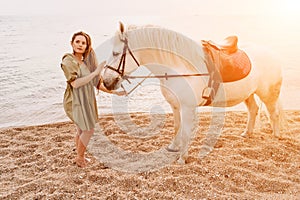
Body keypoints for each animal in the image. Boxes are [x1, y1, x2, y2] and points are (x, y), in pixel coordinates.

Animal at [101, 23, 284, 164]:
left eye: (115, 53)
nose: (106, 82)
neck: (176, 68)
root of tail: (272, 54)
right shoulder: (175, 106)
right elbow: (177, 127)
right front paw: (174, 148)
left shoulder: (187, 108)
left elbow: (186, 133)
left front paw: (182, 159)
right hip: (248, 94)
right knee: (253, 110)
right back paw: (247, 133)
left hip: (268, 94)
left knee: (273, 114)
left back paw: (276, 136)